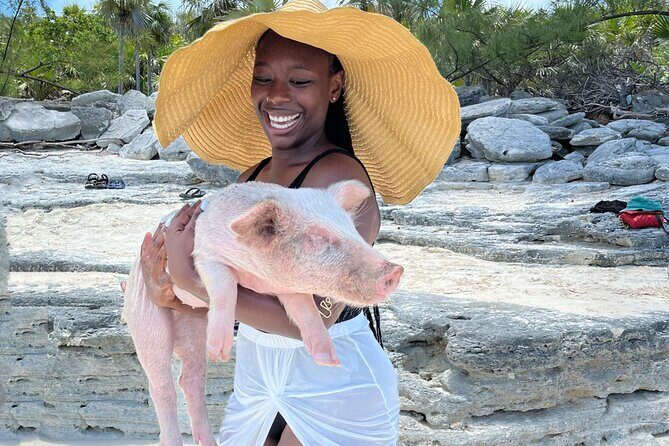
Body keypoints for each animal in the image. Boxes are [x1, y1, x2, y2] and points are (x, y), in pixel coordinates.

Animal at [121, 179, 403, 446]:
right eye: (318, 237)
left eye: (352, 228)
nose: (395, 270)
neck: (256, 275)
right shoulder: (204, 255)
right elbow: (225, 287)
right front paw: (221, 353)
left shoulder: (286, 288)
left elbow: (305, 310)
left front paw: (328, 359)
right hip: (146, 314)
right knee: (160, 383)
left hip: (192, 327)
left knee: (190, 379)